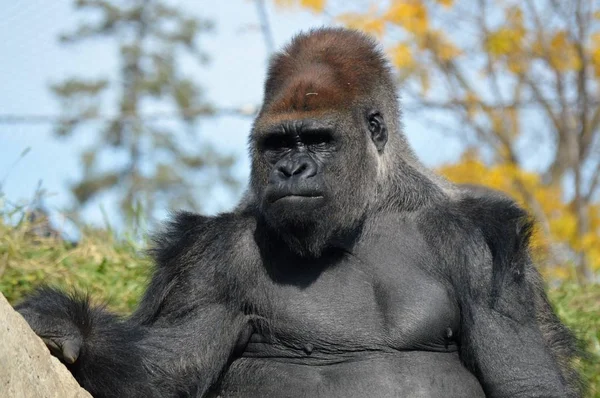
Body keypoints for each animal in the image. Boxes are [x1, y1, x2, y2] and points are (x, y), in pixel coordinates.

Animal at [16, 28, 580, 398]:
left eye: (317, 139)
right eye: (277, 144)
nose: (291, 169)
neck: (367, 210)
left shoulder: (482, 247)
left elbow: (526, 380)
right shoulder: (210, 260)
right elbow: (164, 372)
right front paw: (70, 329)